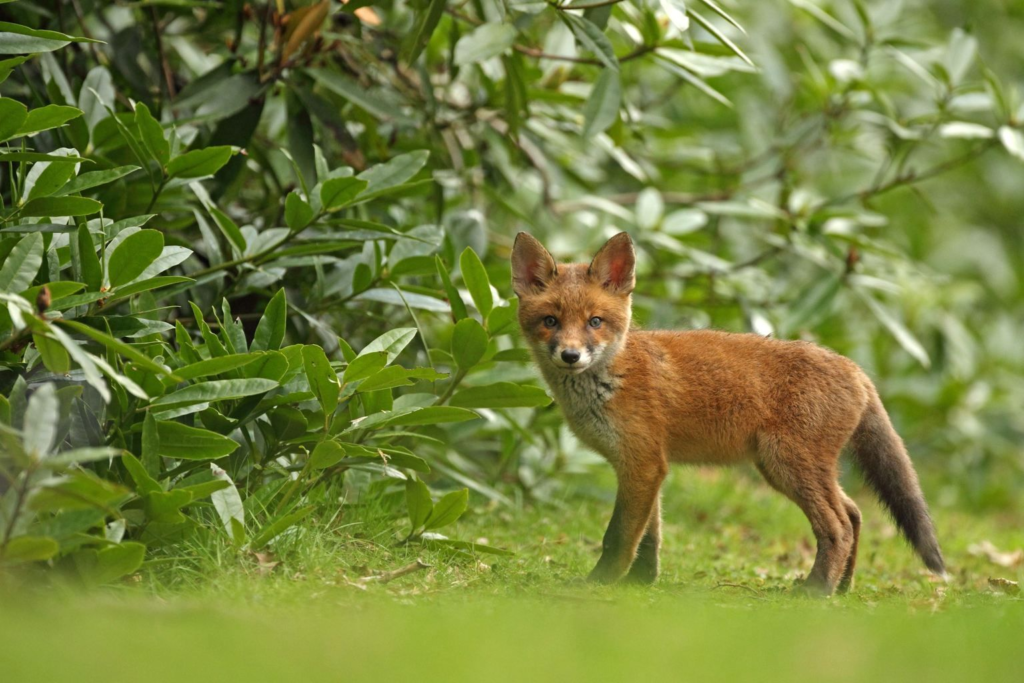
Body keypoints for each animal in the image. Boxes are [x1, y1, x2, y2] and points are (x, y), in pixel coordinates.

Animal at [509, 232, 942, 593]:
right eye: (550, 321)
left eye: (595, 322)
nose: (570, 355)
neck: (612, 377)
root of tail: (855, 369)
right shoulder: (645, 465)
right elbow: (650, 536)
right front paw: (640, 582)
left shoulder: (643, 463)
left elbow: (618, 537)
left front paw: (600, 582)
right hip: (786, 468)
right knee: (853, 513)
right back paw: (843, 587)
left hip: (787, 463)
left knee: (838, 527)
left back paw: (815, 591)